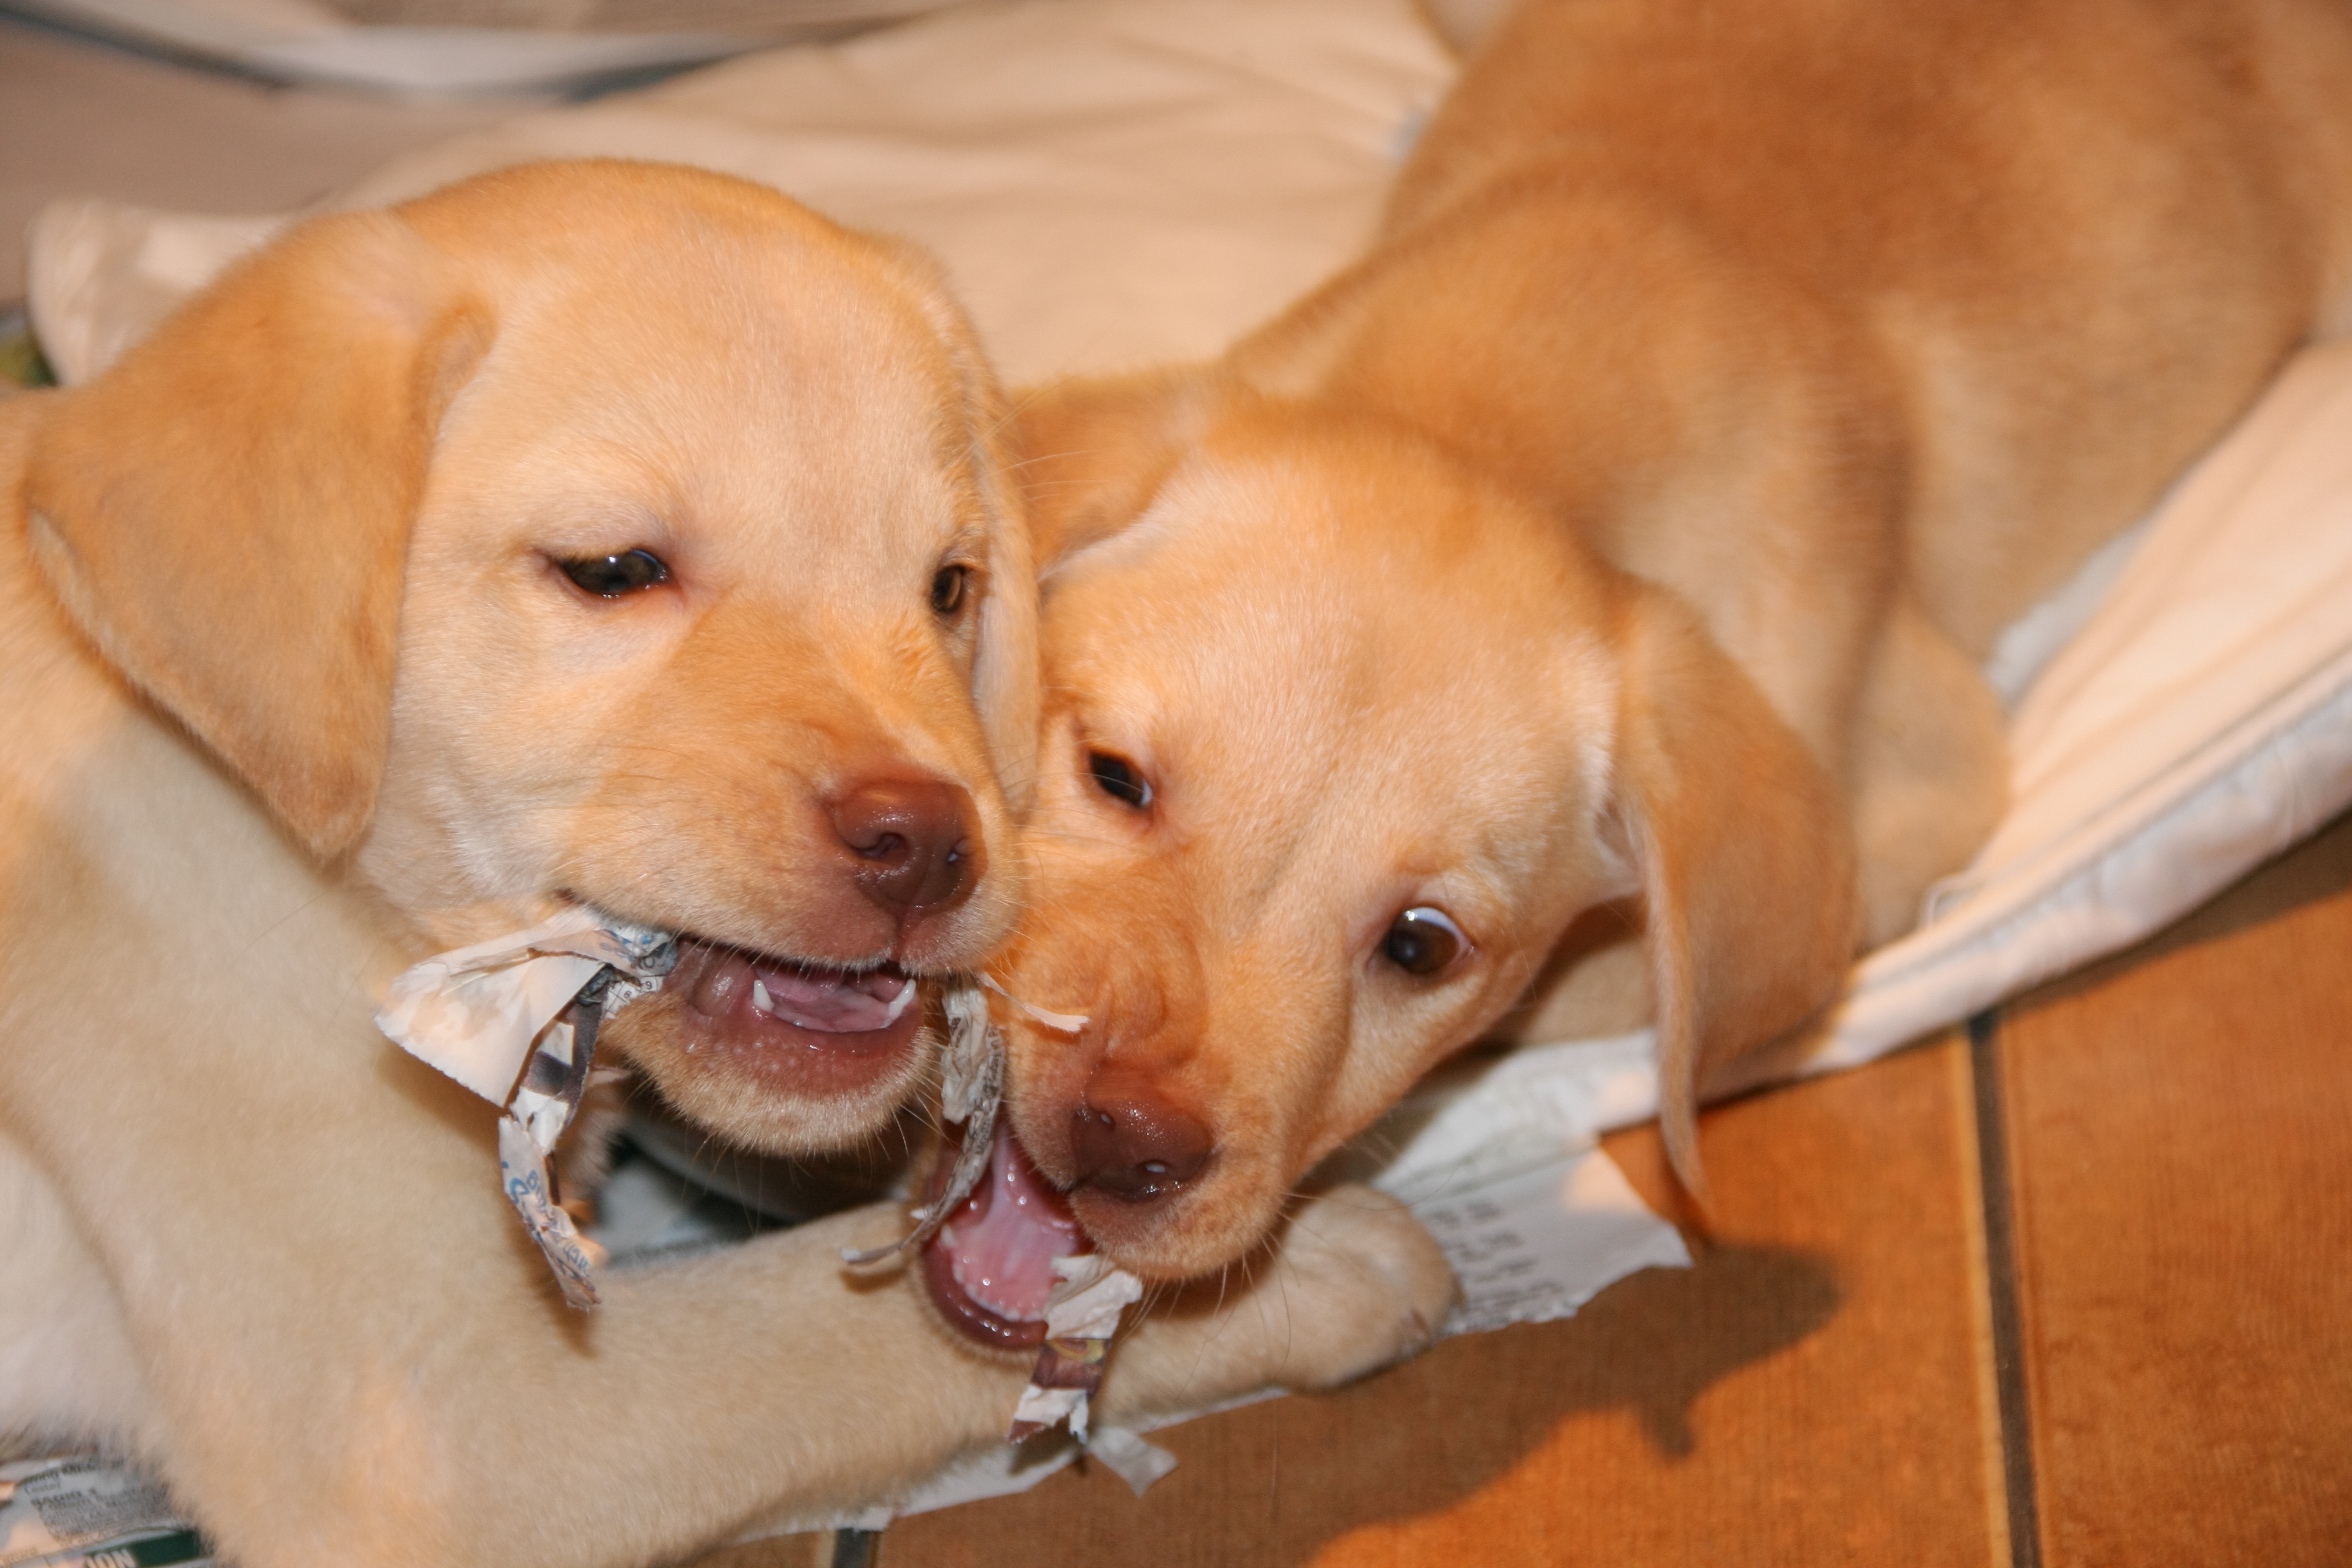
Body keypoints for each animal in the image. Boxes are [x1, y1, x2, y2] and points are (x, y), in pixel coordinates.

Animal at [0, 162, 1449, 1568]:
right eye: (611, 569)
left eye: (951, 585)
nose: (931, 843)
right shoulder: (444, 1424)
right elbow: (831, 1320)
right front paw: (1325, 1270)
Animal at [893, 0, 2352, 1325]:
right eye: (1113, 777)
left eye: (1422, 947)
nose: (1124, 1140)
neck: (1509, 414)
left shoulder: (1904, 804)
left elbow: (1625, 996)